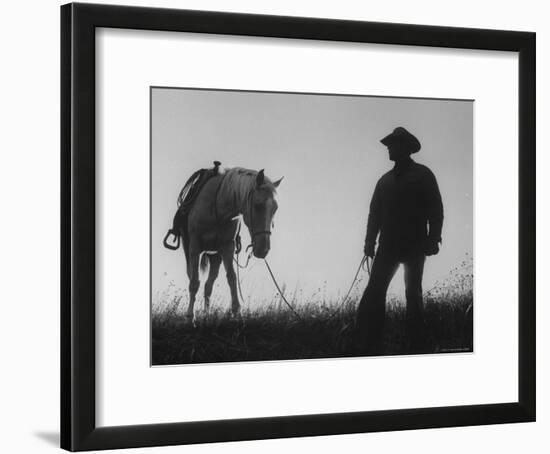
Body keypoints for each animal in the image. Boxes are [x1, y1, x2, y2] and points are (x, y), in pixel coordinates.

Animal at [164, 165, 284, 320]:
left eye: (275, 208)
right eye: (258, 205)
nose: (263, 249)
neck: (218, 207)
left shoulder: (227, 247)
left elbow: (232, 277)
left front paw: (237, 312)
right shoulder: (195, 247)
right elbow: (194, 282)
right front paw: (190, 316)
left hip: (216, 256)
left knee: (208, 285)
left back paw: (207, 315)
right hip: (190, 250)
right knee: (194, 278)